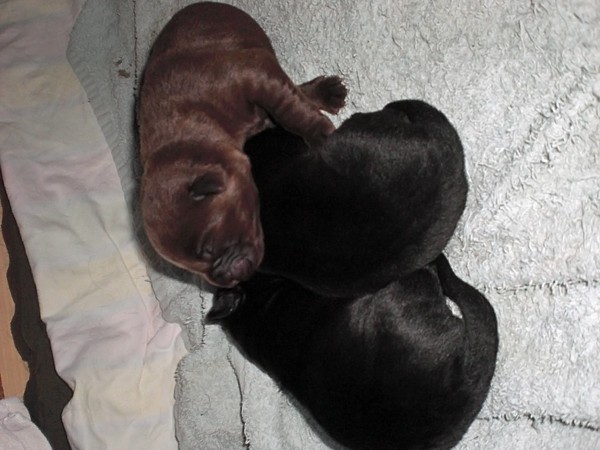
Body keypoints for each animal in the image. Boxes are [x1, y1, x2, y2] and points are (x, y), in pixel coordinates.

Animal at [137, 2, 347, 287]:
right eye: (191, 269)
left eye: (208, 247)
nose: (226, 279)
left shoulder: (251, 73)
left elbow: (289, 107)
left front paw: (319, 135)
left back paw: (326, 92)